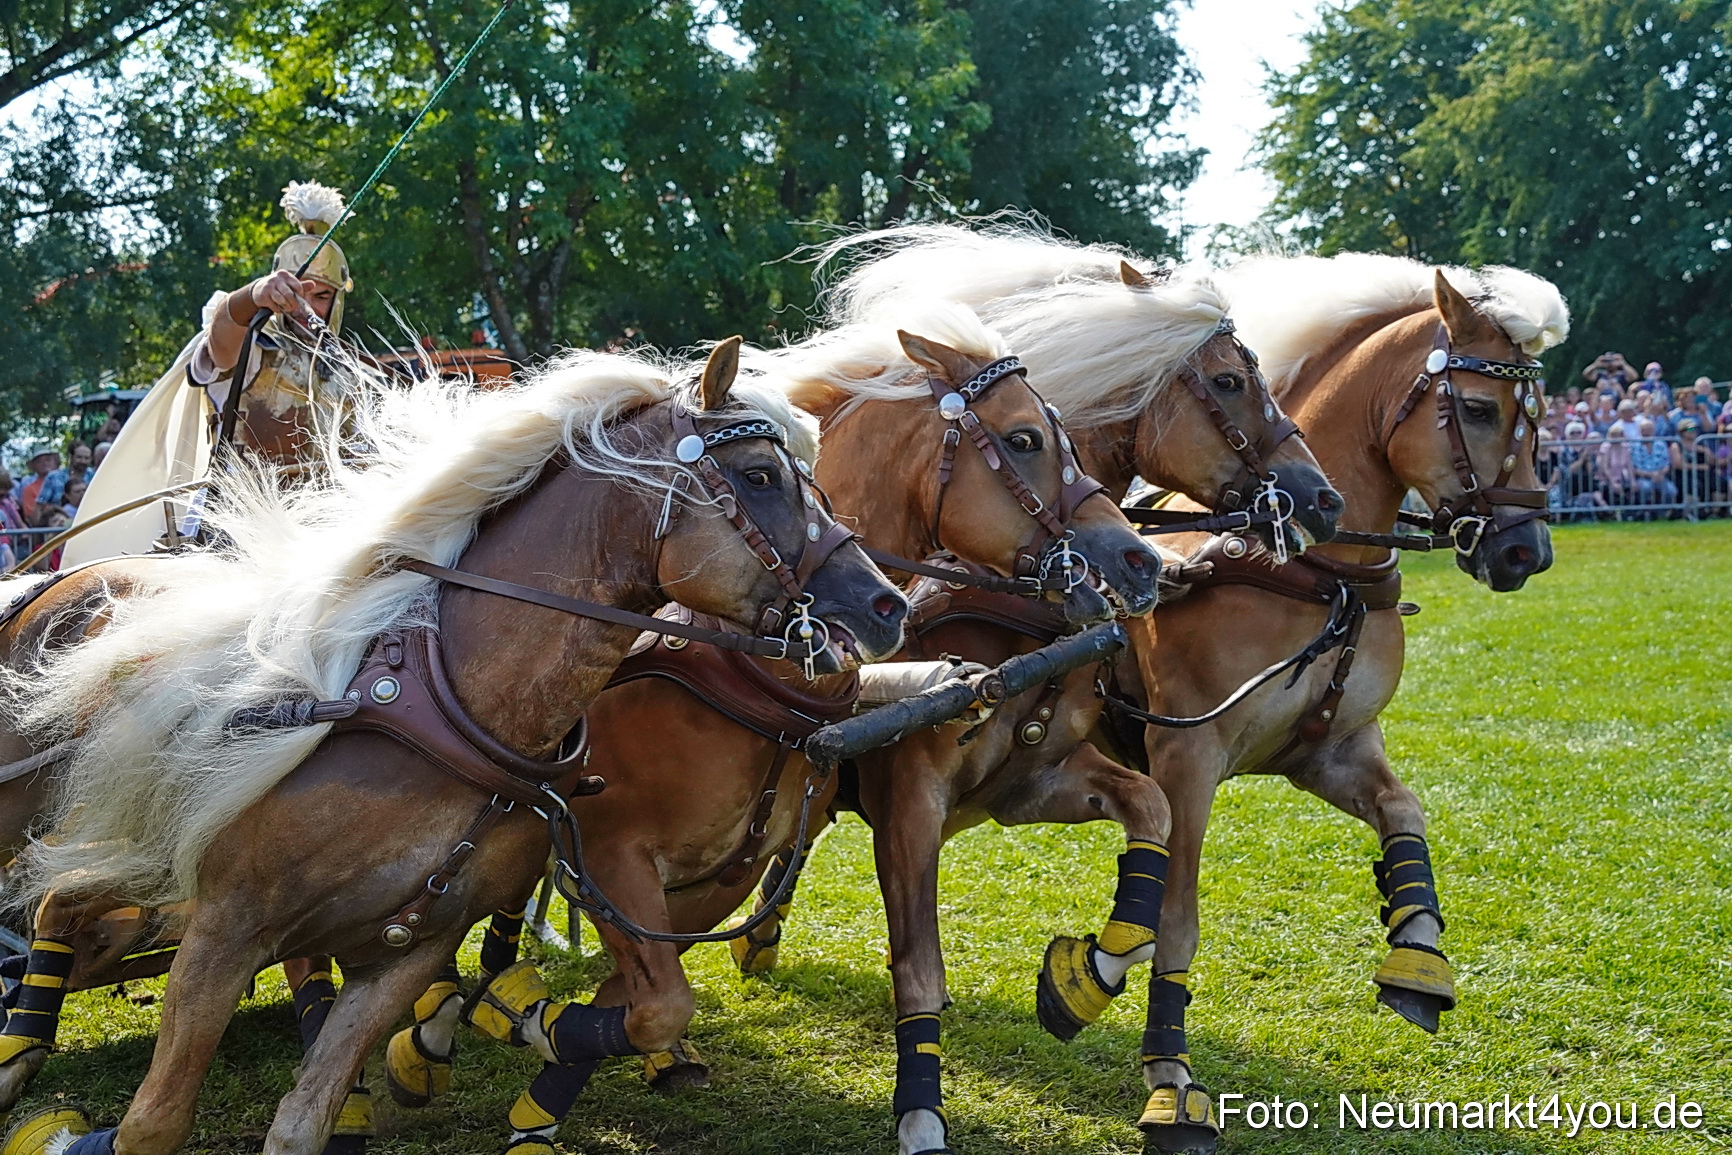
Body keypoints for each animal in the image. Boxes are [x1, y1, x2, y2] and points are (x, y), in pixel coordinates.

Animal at [0, 338, 908, 1155]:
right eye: (759, 476)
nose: (887, 604)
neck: (451, 712)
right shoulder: (226, 928)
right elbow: (152, 1126)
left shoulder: (409, 950)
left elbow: (303, 1119)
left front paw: (521, 1024)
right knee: (53, 903)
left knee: (63, 900)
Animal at [695, 226, 1345, 1155]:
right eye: (1229, 379)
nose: (1324, 499)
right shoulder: (911, 803)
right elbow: (918, 965)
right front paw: (922, 1115)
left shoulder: (1033, 778)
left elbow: (1150, 820)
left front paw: (1081, 977)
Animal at [1061, 258, 1568, 1154]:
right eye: (1477, 408)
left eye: (1539, 419)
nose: (1525, 550)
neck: (1309, 568)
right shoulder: (1188, 759)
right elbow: (1177, 915)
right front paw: (1169, 1077)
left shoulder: (1331, 749)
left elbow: (1406, 814)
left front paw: (1418, 959)